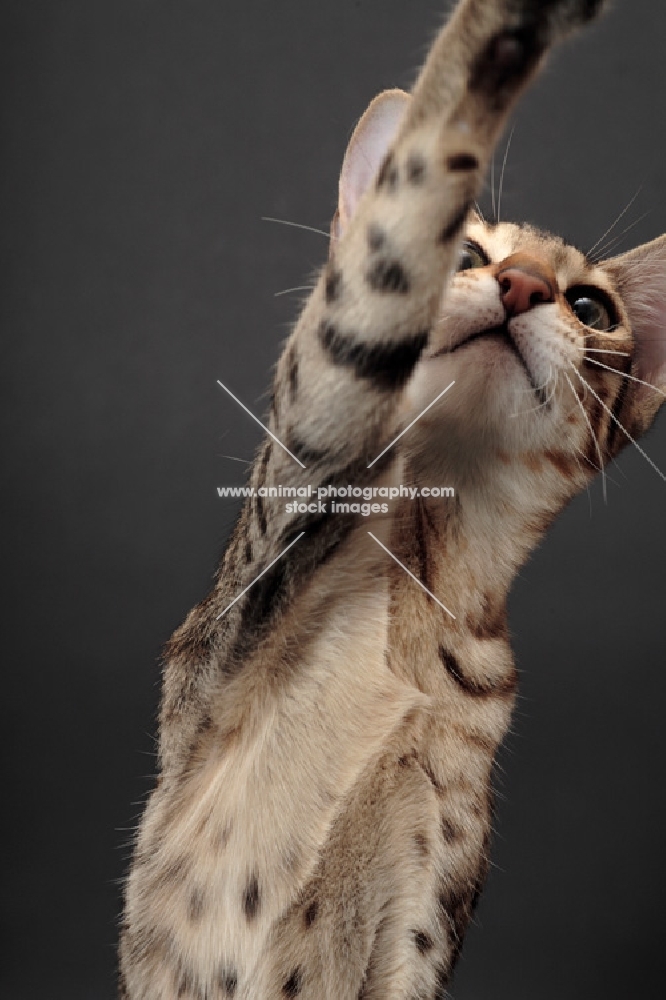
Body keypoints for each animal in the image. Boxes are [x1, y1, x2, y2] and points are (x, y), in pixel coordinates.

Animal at [118, 1, 664, 1000]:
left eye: (591, 309)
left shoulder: (423, 915)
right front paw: (500, 30)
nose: (524, 284)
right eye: (471, 254)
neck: (425, 567)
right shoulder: (304, 480)